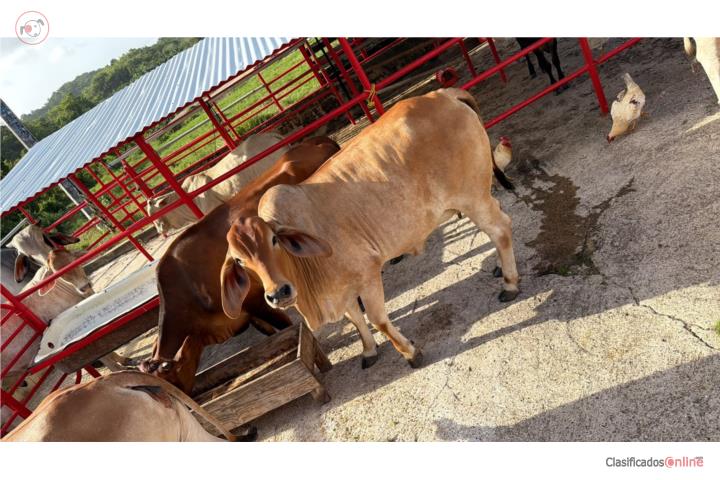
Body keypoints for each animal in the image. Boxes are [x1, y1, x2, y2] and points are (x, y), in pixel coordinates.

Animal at [220, 88, 519, 370]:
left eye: (274, 240)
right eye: (239, 260)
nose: (277, 294)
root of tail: (442, 94)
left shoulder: (367, 275)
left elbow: (377, 320)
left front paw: (410, 352)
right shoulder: (341, 290)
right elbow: (357, 321)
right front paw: (369, 350)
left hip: (472, 196)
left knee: (500, 229)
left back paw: (510, 283)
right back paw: (498, 267)